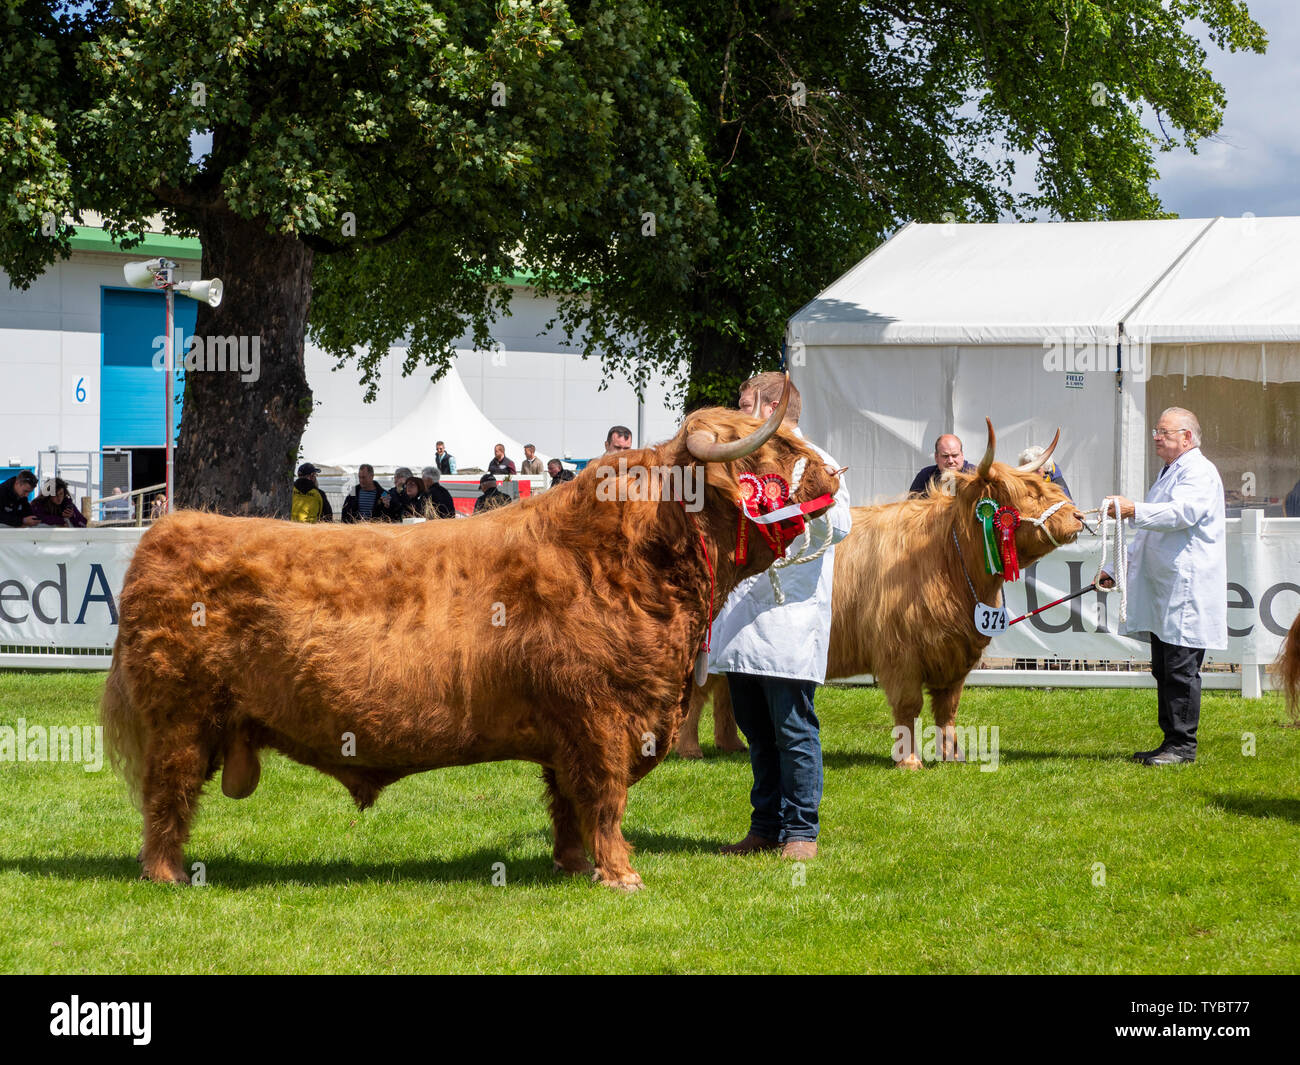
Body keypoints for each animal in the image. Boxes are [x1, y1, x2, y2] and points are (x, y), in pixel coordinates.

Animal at [98, 382, 832, 889]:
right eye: (776, 448)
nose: (833, 475)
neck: (634, 559)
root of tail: (168, 528)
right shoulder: (602, 717)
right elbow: (604, 799)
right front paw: (621, 875)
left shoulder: (569, 730)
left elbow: (569, 802)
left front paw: (572, 865)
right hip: (181, 718)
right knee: (167, 793)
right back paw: (167, 874)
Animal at [676, 421, 1081, 769]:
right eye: (1027, 493)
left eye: (1045, 484)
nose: (1078, 517)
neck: (949, 559)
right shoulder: (900, 652)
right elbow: (909, 705)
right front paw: (909, 761)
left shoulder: (955, 653)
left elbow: (947, 709)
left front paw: (954, 756)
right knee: (699, 692)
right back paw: (690, 749)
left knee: (725, 690)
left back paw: (731, 744)